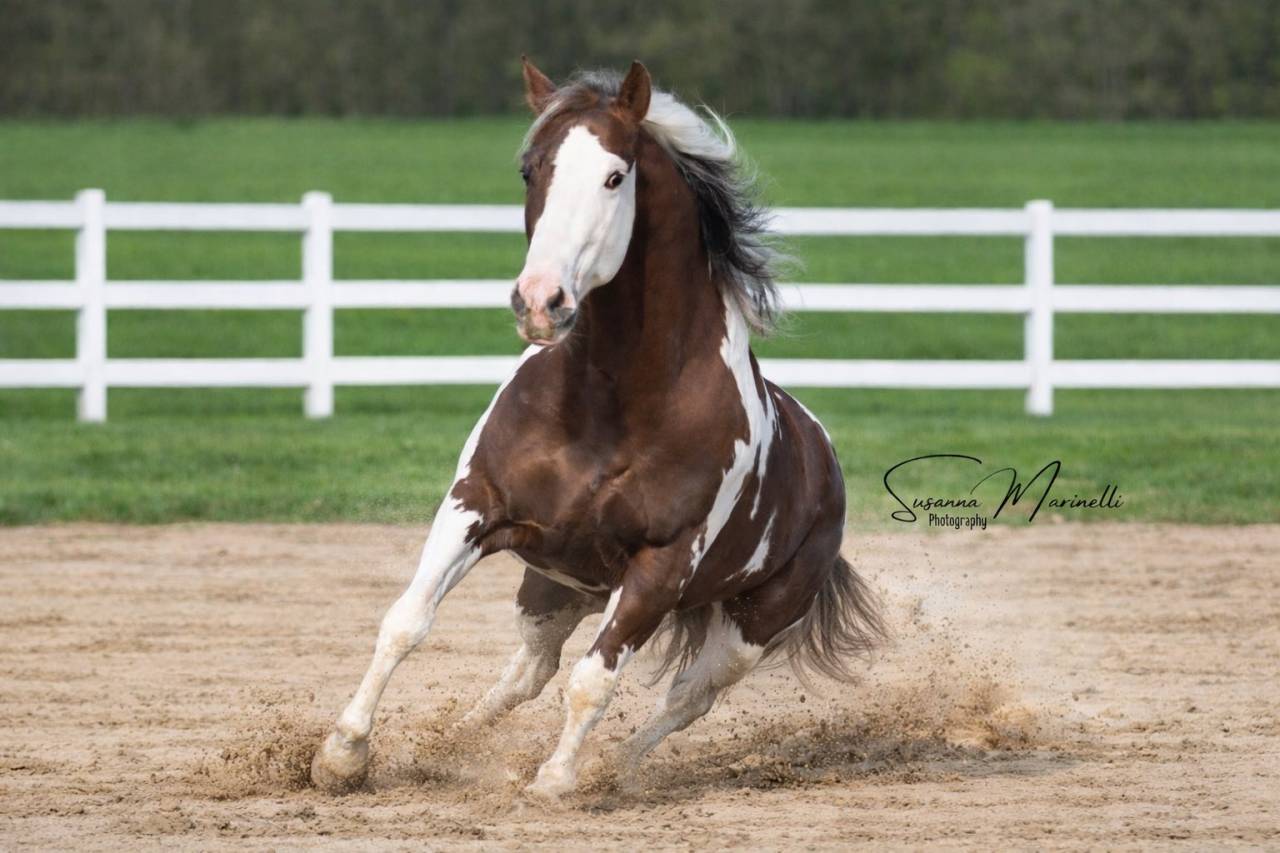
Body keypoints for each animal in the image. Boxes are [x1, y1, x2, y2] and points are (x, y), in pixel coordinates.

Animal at [311, 58, 885, 800]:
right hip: (557, 586)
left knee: (687, 697)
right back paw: (447, 745)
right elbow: (407, 623)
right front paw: (343, 755)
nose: (540, 301)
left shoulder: (660, 568)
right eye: (531, 169)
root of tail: (824, 458)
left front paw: (556, 780)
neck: (611, 408)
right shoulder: (476, 506)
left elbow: (596, 680)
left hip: (752, 623)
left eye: (616, 177)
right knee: (529, 669)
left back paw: (613, 769)